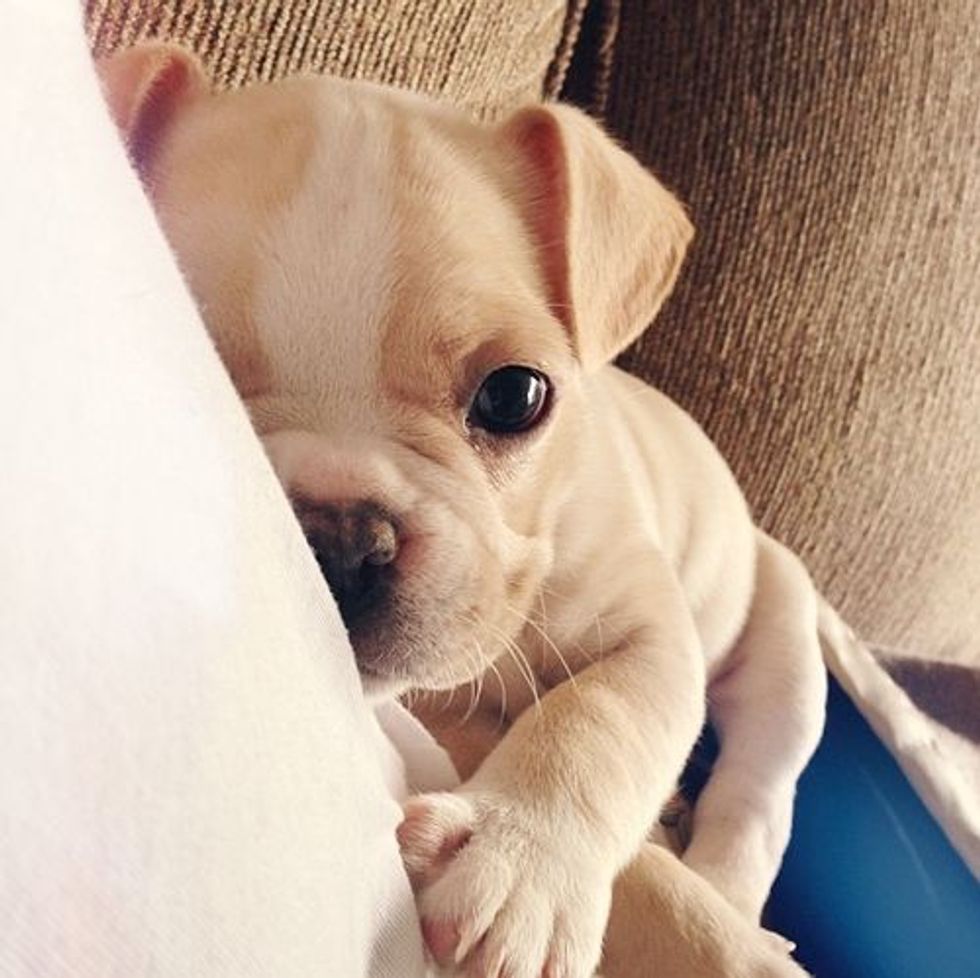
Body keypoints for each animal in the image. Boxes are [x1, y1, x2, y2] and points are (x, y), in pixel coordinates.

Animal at [99, 43, 826, 978]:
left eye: (515, 396)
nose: (340, 543)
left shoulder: (651, 630)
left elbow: (600, 717)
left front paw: (519, 867)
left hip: (784, 629)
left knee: (761, 786)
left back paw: (734, 895)